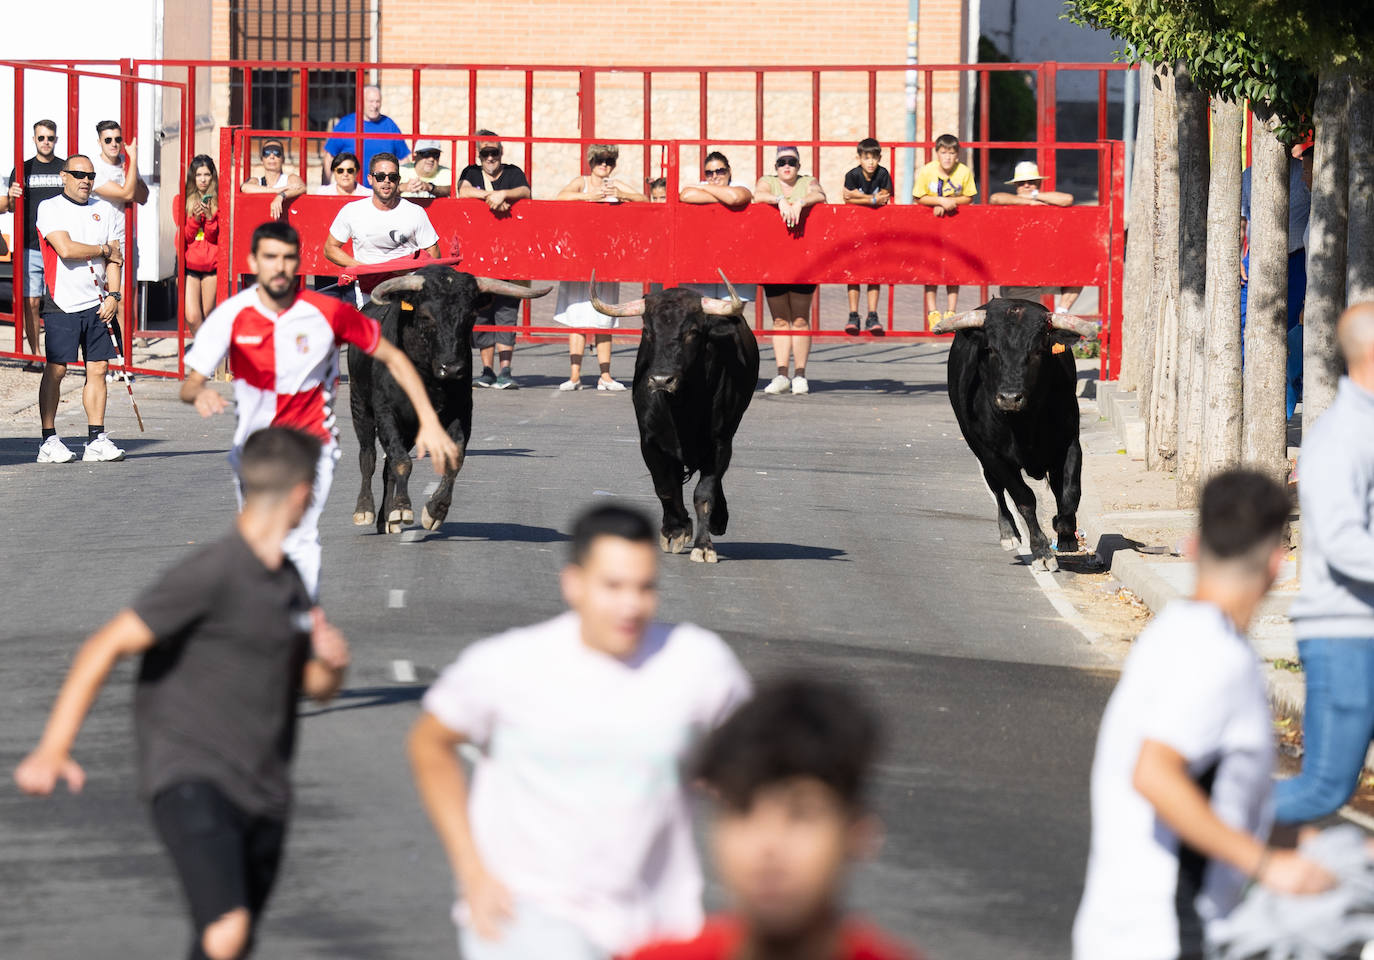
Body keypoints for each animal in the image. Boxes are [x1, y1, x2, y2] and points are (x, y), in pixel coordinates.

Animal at [346, 266, 549, 538]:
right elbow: (401, 462)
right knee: (367, 456)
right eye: (426, 316)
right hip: (360, 406)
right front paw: (402, 508)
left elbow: (452, 460)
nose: (451, 368)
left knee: (387, 465)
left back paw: (387, 519)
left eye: (470, 316)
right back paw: (365, 511)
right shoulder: (386, 412)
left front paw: (433, 511)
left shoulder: (460, 413)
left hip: (410, 428)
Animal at [593, 274, 763, 563]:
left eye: (692, 332)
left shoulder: (720, 443)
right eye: (647, 331)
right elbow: (665, 486)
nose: (662, 379)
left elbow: (704, 493)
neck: (684, 408)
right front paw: (675, 530)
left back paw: (719, 520)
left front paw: (703, 546)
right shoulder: (650, 442)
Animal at [934, 298, 1093, 571]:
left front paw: (1064, 531)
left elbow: (1071, 492)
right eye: (990, 349)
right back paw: (1008, 532)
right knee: (997, 489)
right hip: (980, 453)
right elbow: (1024, 498)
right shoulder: (992, 454)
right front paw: (1041, 550)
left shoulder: (1070, 443)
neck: (1023, 423)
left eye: (1038, 351)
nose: (1009, 398)